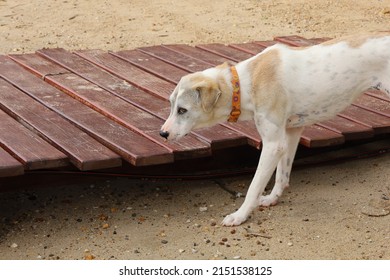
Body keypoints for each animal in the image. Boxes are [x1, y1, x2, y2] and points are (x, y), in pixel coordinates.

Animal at [159, 32, 390, 225]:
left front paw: (239, 216)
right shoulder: (290, 134)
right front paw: (272, 198)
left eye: (182, 110)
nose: (162, 133)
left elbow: (254, 186)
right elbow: (281, 174)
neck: (246, 83)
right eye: (171, 105)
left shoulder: (272, 145)